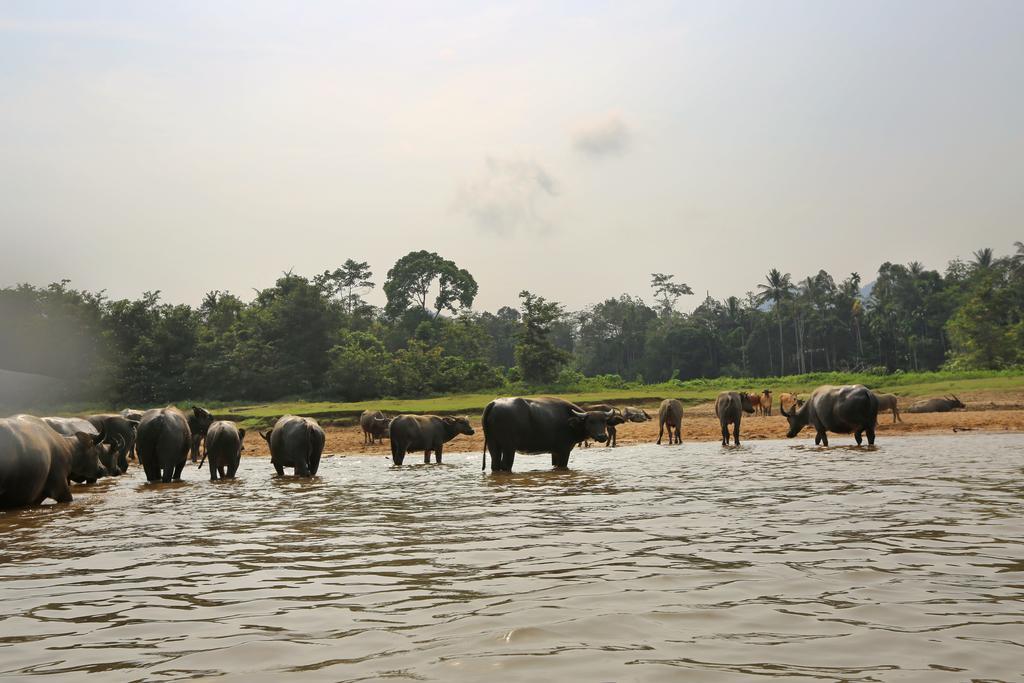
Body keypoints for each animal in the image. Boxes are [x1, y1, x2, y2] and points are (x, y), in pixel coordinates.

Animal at [481, 397, 614, 473]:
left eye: (604, 421)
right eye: (590, 421)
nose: (602, 436)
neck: (570, 422)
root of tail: (493, 404)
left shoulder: (555, 452)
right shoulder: (564, 450)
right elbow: (562, 465)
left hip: (492, 444)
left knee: (495, 464)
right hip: (509, 447)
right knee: (506, 465)